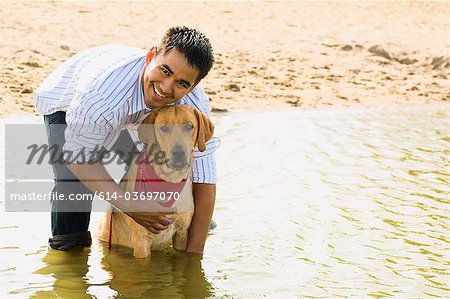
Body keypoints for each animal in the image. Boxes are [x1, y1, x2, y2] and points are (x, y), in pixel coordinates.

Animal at [95, 105, 214, 258]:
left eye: (189, 126)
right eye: (163, 128)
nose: (179, 152)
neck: (168, 181)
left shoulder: (182, 234)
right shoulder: (141, 240)